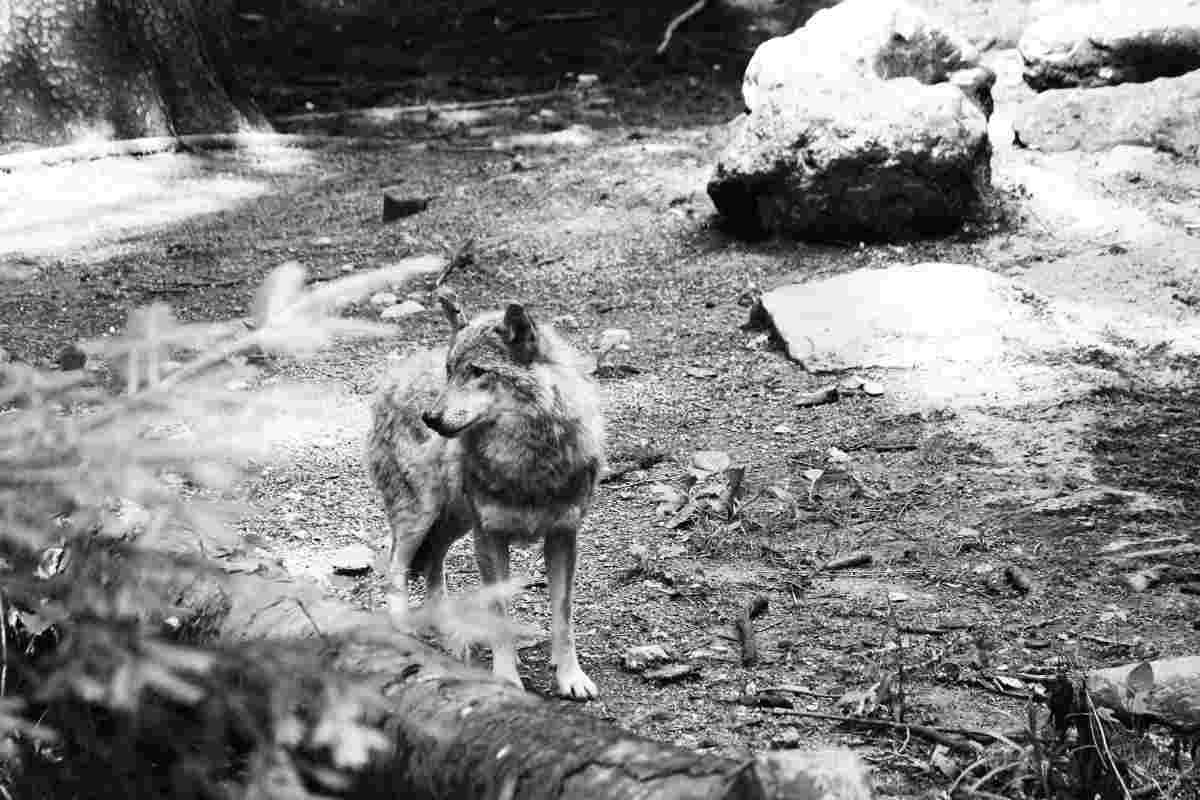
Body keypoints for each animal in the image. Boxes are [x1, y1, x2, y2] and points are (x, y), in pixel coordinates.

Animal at [366, 290, 604, 700]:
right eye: (449, 371)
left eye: (478, 371)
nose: (430, 418)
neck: (527, 461)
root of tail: (395, 374)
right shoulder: (489, 536)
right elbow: (500, 614)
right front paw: (506, 678)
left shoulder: (564, 536)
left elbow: (564, 615)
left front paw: (570, 676)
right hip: (421, 515)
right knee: (397, 565)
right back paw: (407, 632)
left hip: (455, 521)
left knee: (433, 564)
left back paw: (449, 630)